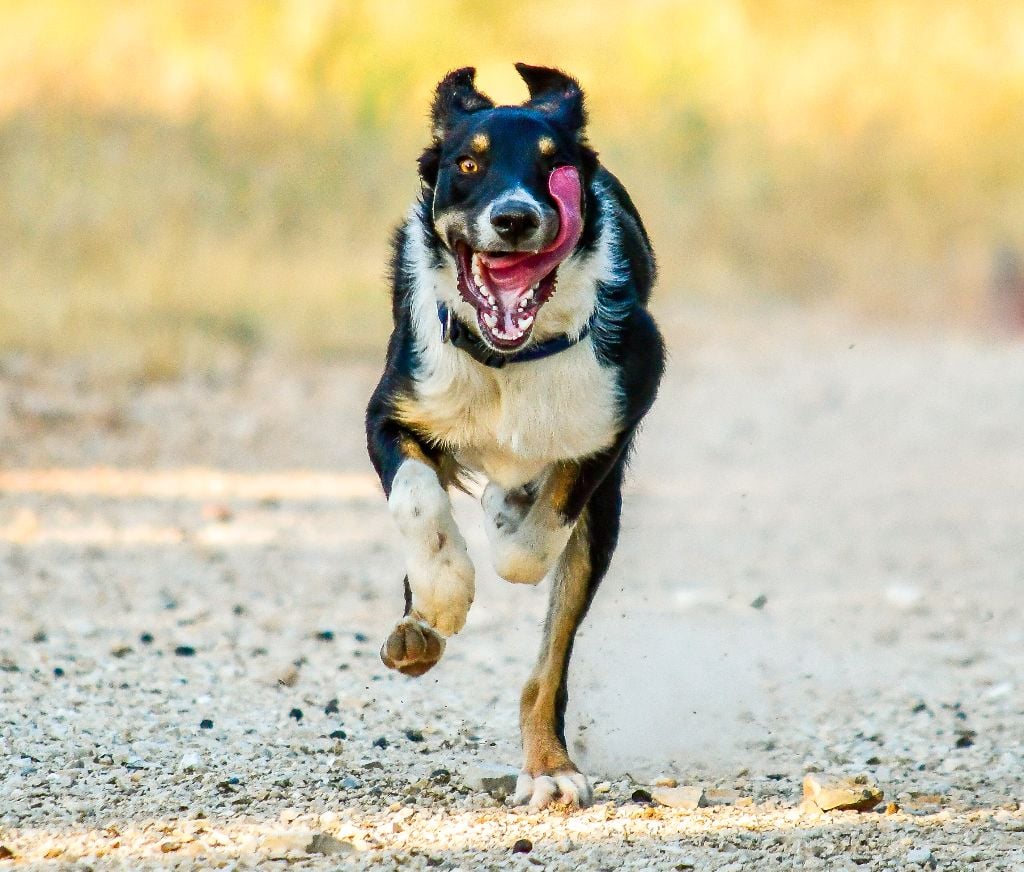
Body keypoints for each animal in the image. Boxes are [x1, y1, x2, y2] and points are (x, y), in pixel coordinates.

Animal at [366, 62, 663, 810]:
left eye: (552, 165)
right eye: (468, 164)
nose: (515, 217)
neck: (509, 360)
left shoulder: (621, 408)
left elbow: (537, 539)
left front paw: (507, 530)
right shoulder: (392, 409)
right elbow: (417, 498)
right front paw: (443, 592)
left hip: (605, 518)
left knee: (549, 661)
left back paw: (548, 767)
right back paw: (417, 629)